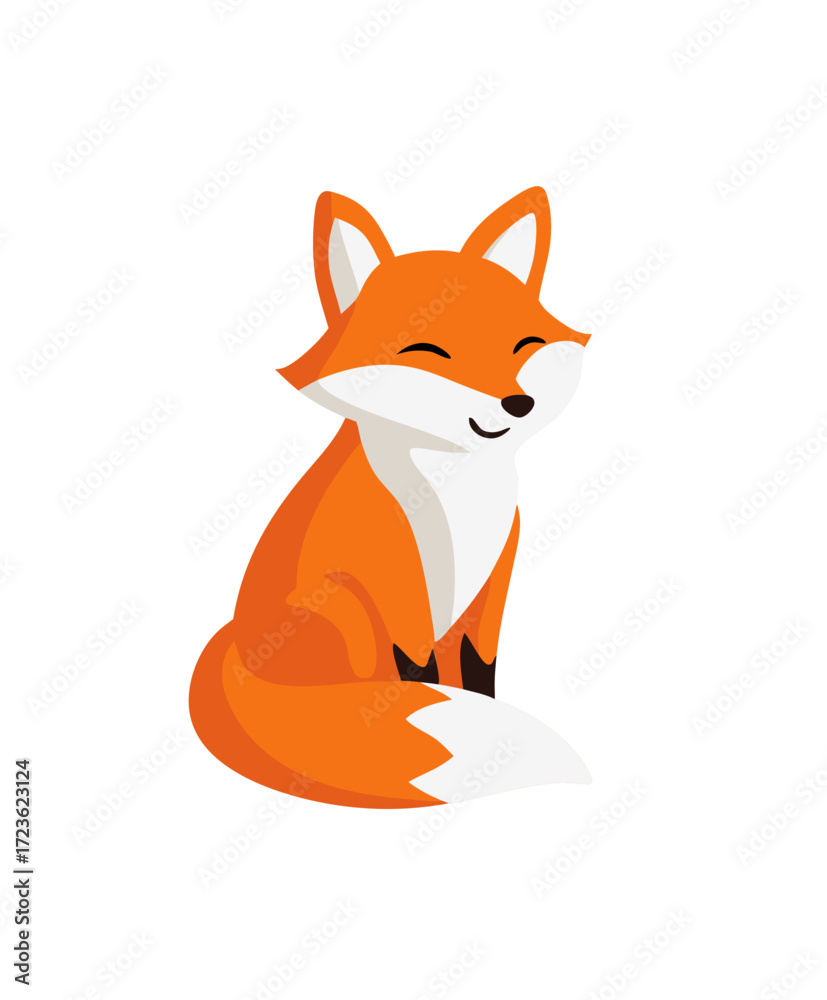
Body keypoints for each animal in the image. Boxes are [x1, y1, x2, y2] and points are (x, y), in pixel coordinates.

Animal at [189, 186, 592, 809]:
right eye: (428, 351)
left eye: (525, 346)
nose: (517, 403)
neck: (456, 498)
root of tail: (235, 640)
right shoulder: (394, 584)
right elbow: (416, 678)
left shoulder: (489, 587)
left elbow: (479, 675)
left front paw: (488, 741)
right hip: (344, 607)